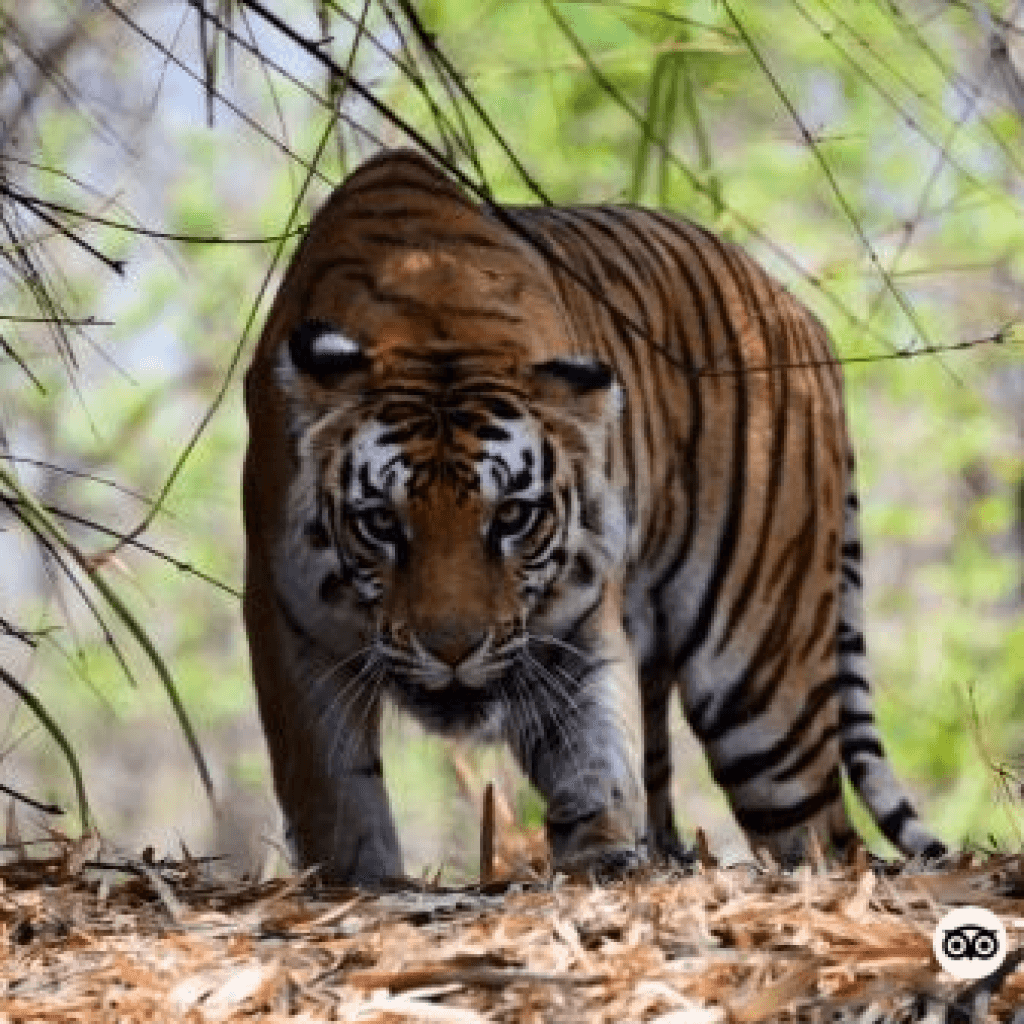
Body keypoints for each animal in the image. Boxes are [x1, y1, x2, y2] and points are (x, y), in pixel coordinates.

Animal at [242, 148, 945, 884]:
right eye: (381, 522)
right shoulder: (289, 625)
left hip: (762, 687)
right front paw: (360, 880)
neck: (431, 323)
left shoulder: (574, 622)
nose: (453, 650)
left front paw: (602, 854)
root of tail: (802, 316)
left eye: (512, 517)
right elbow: (332, 788)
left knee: (825, 835)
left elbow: (593, 750)